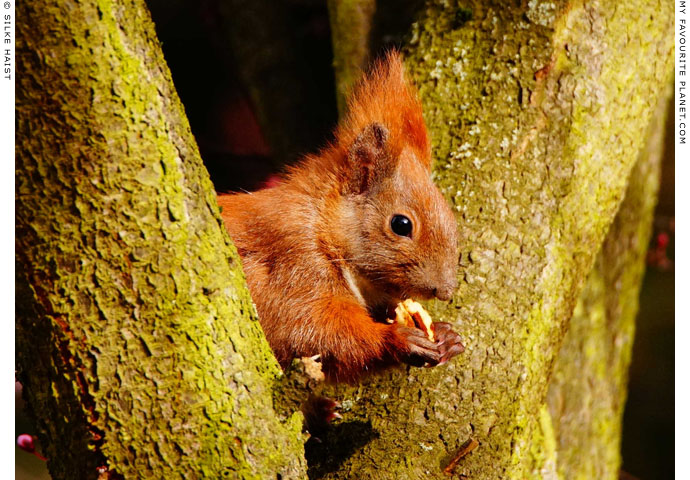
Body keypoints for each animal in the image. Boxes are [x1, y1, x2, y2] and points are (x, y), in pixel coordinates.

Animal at [215, 51, 462, 382]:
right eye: (401, 224)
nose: (445, 291)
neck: (322, 226)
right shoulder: (295, 264)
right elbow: (311, 329)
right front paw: (395, 339)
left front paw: (446, 337)